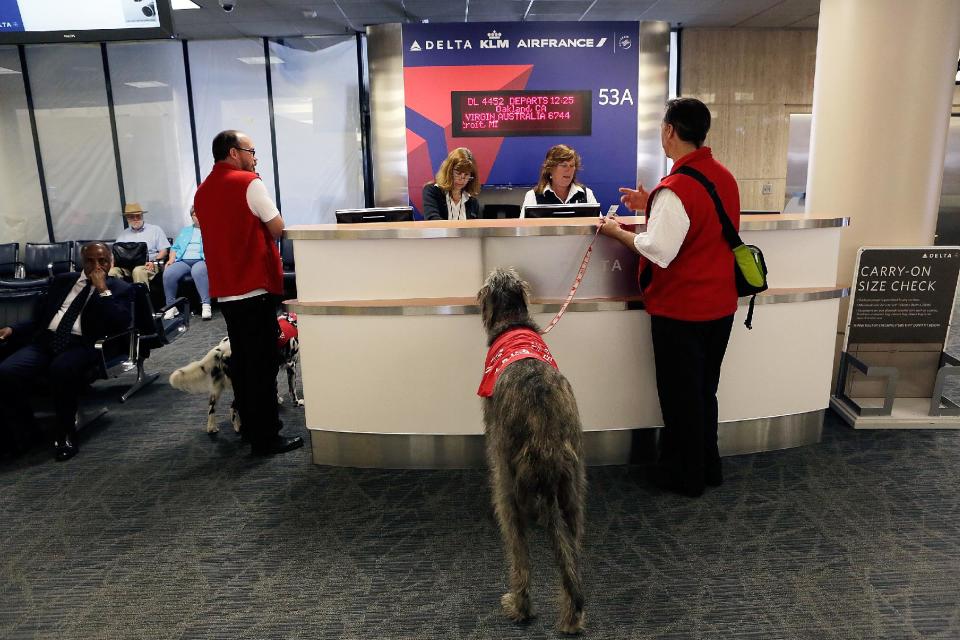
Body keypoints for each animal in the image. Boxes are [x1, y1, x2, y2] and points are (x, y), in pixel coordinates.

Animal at [478, 266, 588, 636]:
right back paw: (572, 617)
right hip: (573, 491)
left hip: (507, 487)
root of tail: (547, 446)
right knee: (571, 556)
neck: (514, 323)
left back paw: (519, 605)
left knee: (520, 557)